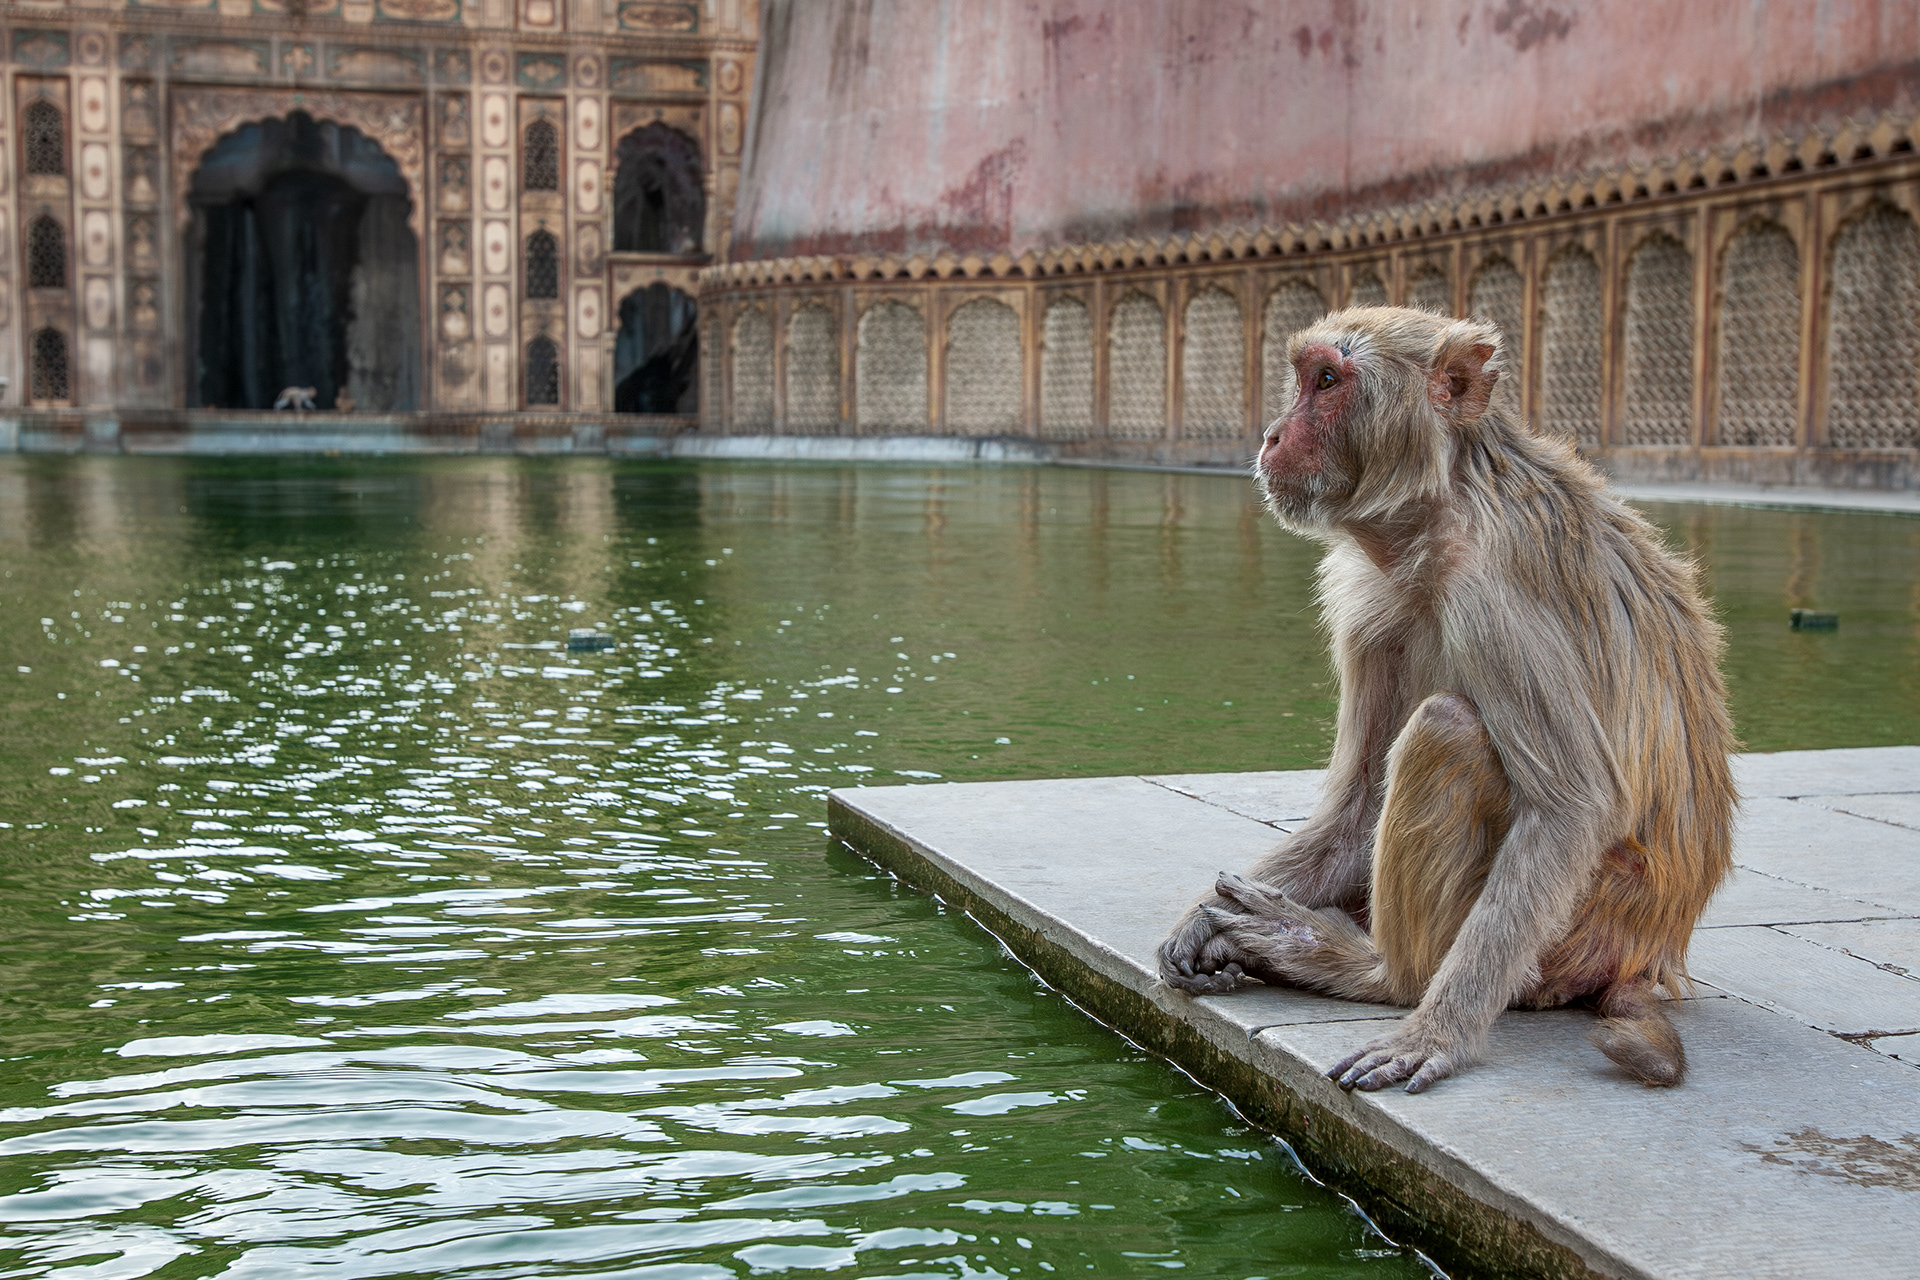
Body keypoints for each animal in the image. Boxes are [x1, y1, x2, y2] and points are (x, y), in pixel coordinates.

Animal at [1156, 305, 1736, 1095]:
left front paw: (1438, 1034)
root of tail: (1649, 948)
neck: (1438, 508)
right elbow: (1357, 810)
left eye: (1327, 381)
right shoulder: (1368, 607)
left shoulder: (1492, 592)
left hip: (1570, 937)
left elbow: (1571, 808)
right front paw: (1200, 913)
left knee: (1449, 728)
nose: (1273, 435)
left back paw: (1371, 972)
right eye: (1305, 376)